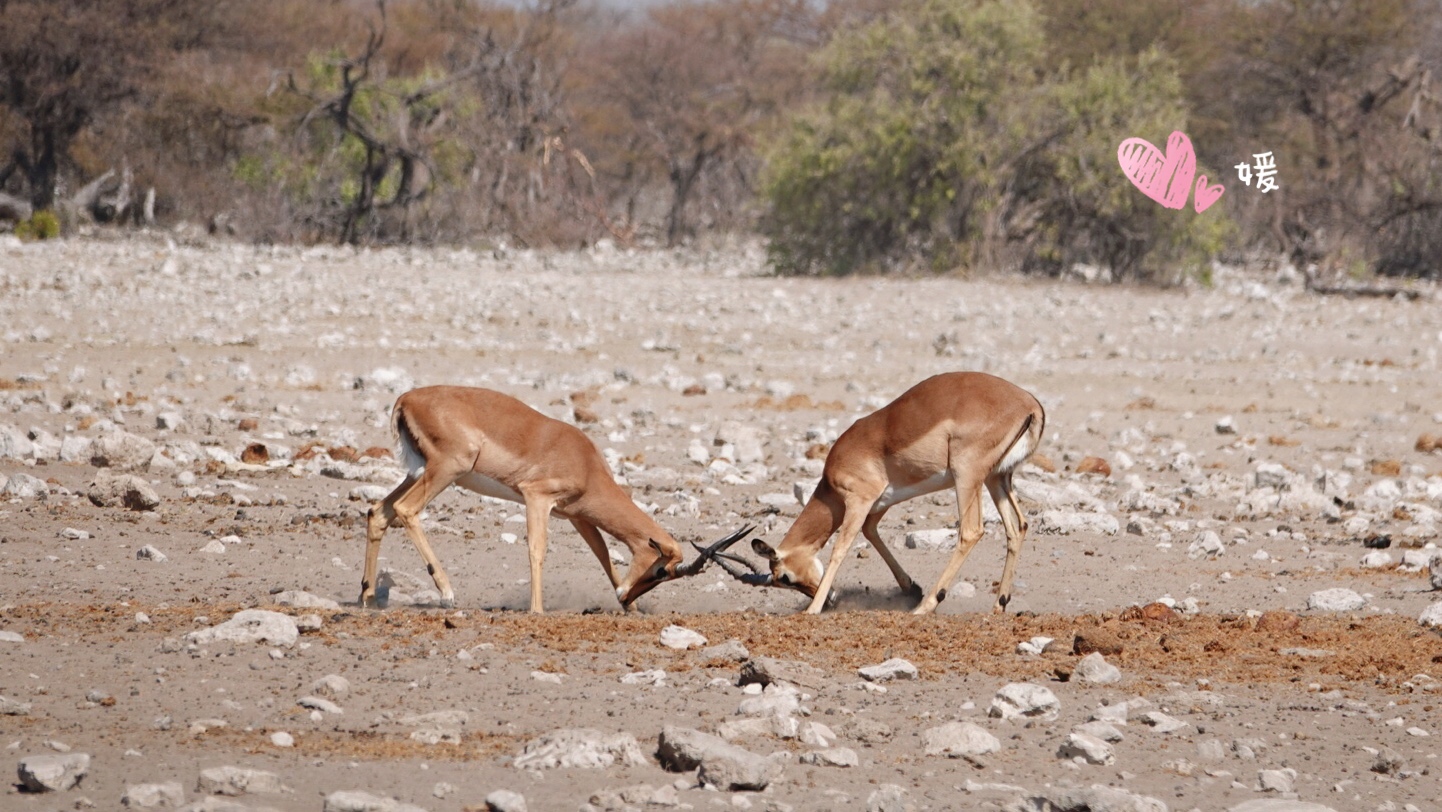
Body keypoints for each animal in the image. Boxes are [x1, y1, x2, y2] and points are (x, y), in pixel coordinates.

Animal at [360, 386, 749, 611]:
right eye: (660, 569)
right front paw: (537, 610)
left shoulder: (577, 515)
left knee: (378, 512)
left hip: (418, 472)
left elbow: (603, 555)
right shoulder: (537, 497)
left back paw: (367, 597)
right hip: (447, 469)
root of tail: (405, 399)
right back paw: (447, 594)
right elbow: (537, 549)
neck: (585, 462)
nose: (627, 597)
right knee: (405, 510)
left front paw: (631, 611)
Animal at [709, 374, 1049, 617]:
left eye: (785, 578)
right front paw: (910, 587)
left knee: (971, 531)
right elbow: (871, 532)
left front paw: (812, 610)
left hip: (967, 477)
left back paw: (926, 606)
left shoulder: (858, 500)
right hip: (996, 478)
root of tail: (1029, 404)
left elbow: (841, 548)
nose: (831, 600)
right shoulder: (879, 504)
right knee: (1017, 526)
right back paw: (998, 604)